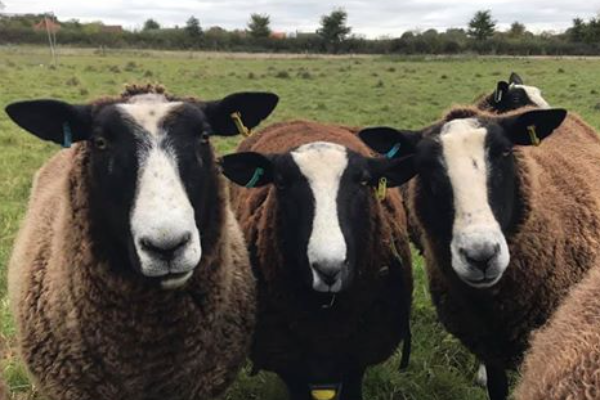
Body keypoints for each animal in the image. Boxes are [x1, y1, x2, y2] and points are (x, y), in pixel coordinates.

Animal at [219, 120, 412, 400]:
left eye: (365, 181)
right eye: (280, 182)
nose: (329, 270)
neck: (325, 317)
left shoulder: (357, 357)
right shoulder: (288, 360)